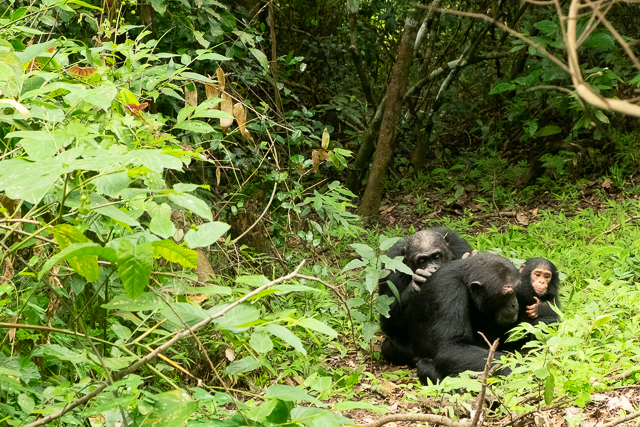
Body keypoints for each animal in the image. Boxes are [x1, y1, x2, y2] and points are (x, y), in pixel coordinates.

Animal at [380, 229, 476, 366]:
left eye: (436, 256)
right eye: (422, 261)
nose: (433, 268)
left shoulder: (460, 247)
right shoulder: (390, 268)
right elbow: (387, 321)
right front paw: (416, 283)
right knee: (388, 347)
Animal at [404, 254, 520, 384]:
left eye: (515, 290)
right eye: (507, 294)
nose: (514, 304)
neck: (466, 282)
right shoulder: (450, 292)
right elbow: (452, 347)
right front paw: (515, 366)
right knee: (425, 365)